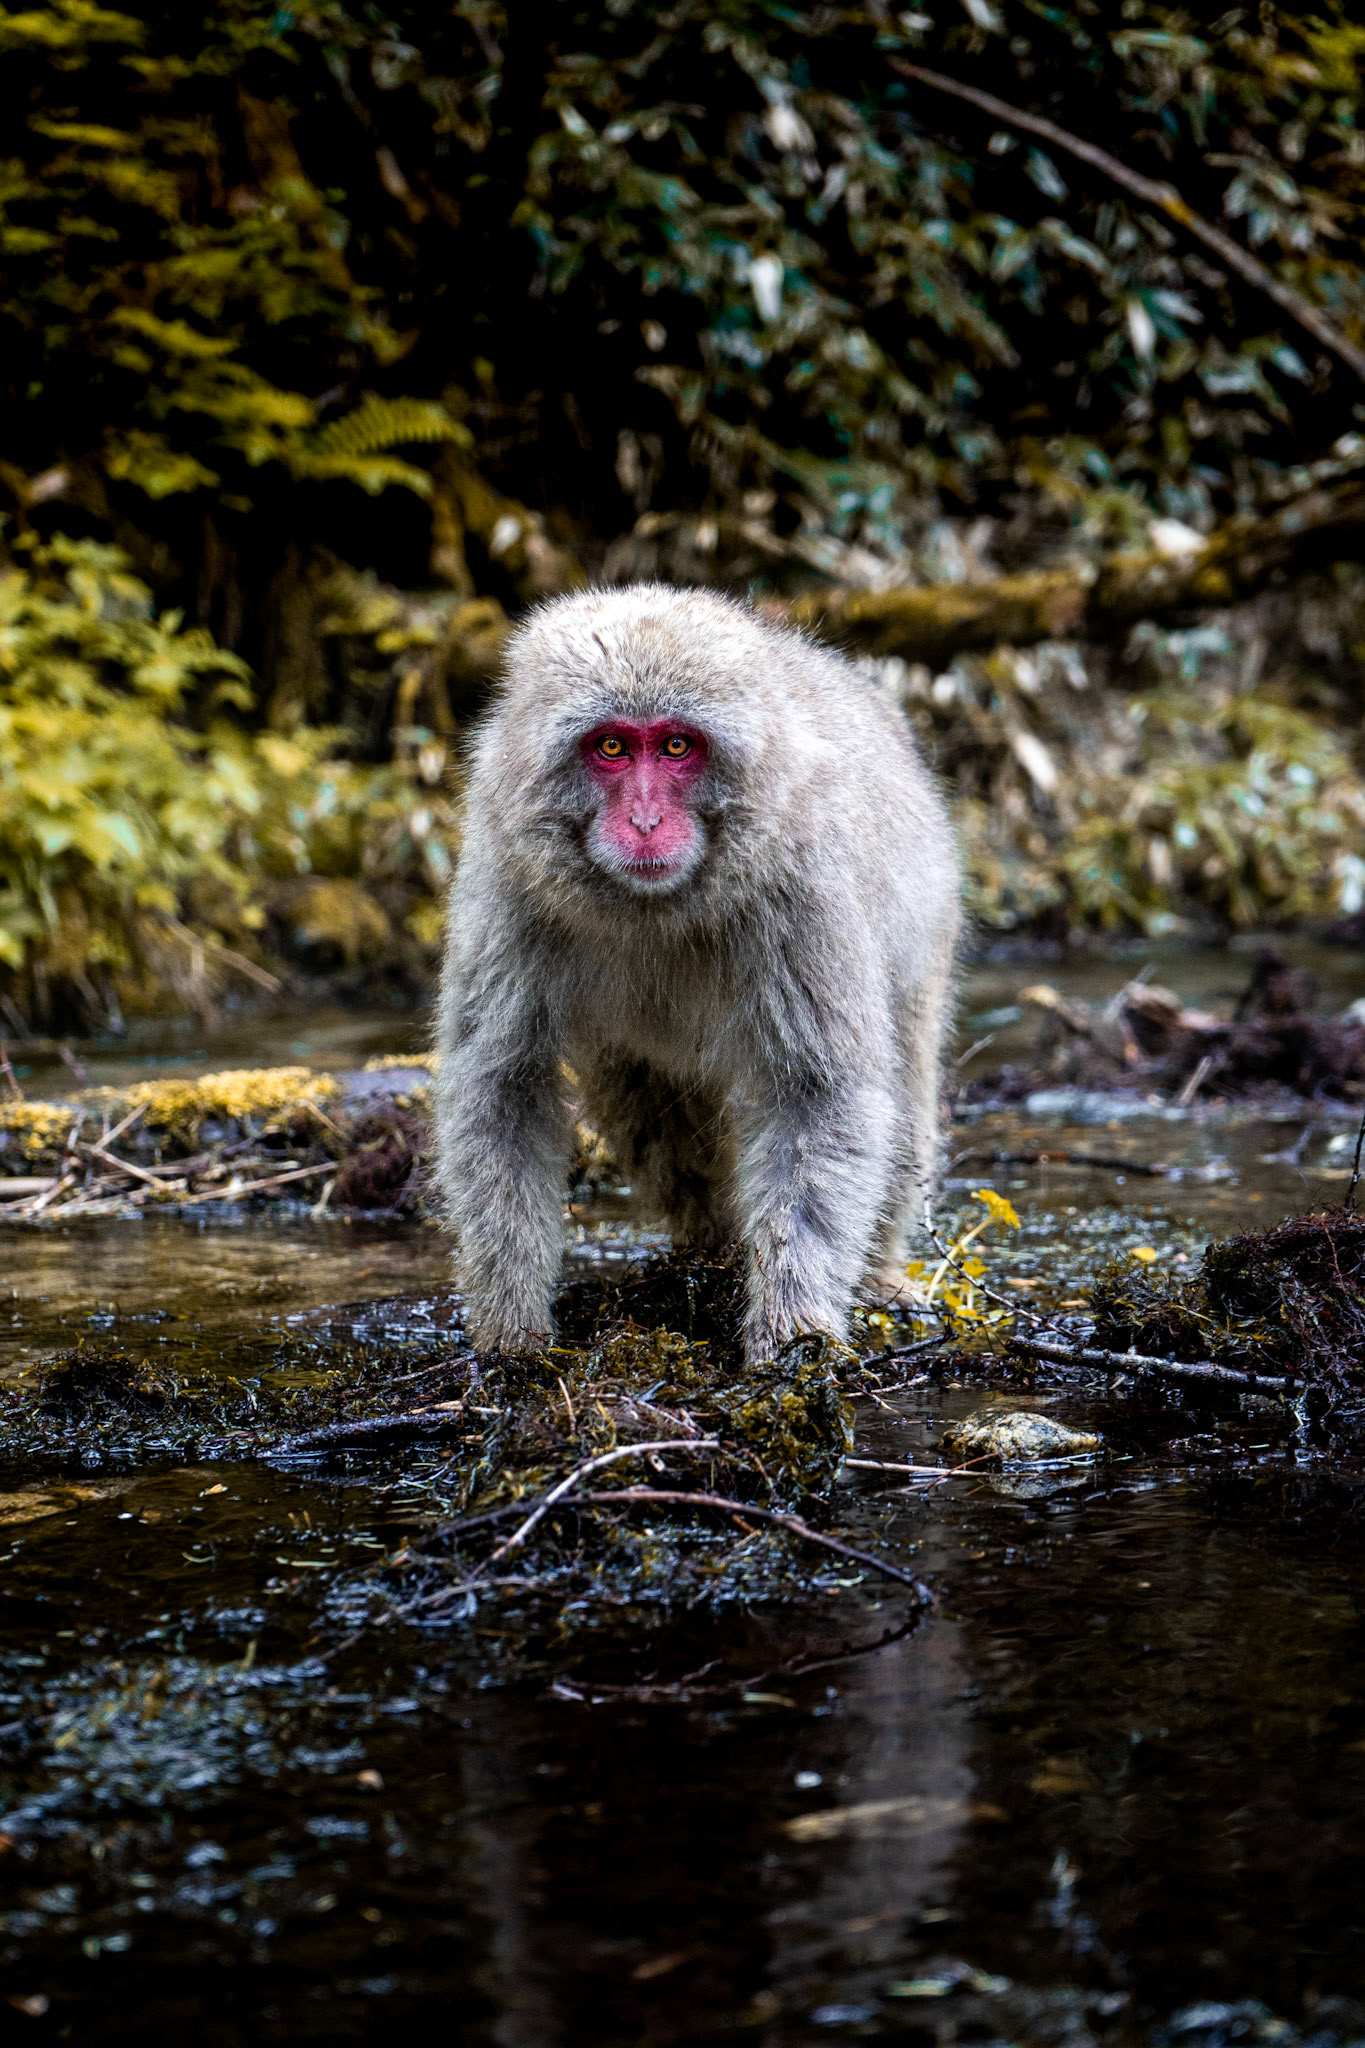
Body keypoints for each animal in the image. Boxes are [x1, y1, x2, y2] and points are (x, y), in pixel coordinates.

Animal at [434, 583, 961, 1366]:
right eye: (612, 747)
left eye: (676, 746)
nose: (646, 823)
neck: (659, 905)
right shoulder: (511, 879)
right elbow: (501, 1087)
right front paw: (512, 1331)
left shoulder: (802, 883)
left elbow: (817, 1094)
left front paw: (792, 1333)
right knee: (648, 1104)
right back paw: (706, 1253)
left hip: (927, 938)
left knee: (902, 1077)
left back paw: (874, 1276)